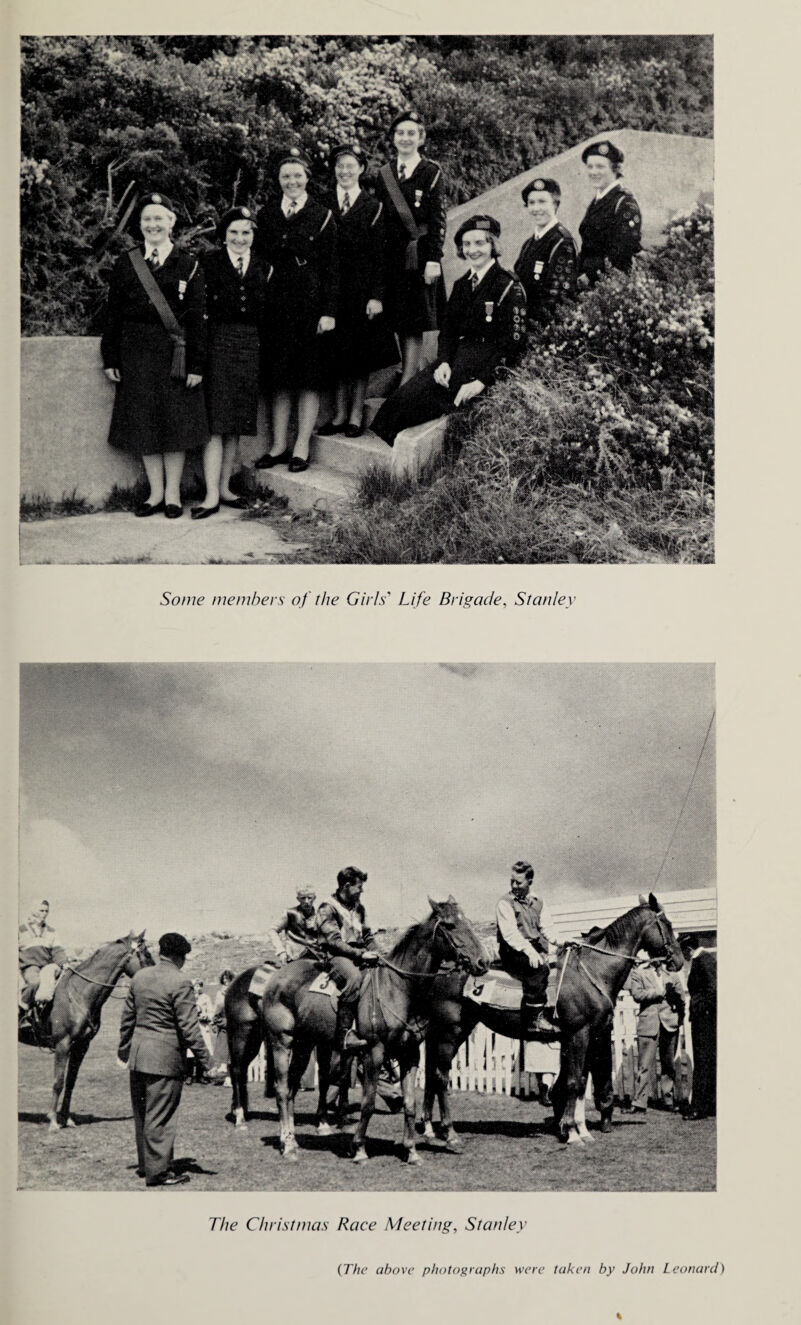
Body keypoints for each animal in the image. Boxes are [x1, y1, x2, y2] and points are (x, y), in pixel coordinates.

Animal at [19, 932, 153, 1128]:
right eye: (147, 955)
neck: (78, 994)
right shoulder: (62, 1044)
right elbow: (58, 1082)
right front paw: (53, 1121)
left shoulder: (81, 1046)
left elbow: (70, 1082)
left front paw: (66, 1118)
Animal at [266, 895, 484, 1166]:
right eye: (451, 925)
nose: (482, 962)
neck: (399, 988)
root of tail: (277, 978)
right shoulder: (374, 1053)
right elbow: (368, 1103)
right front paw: (359, 1148)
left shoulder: (410, 1054)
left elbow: (410, 1103)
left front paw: (411, 1151)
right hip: (281, 1042)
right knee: (282, 1090)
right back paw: (287, 1146)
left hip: (305, 1045)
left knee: (292, 1089)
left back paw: (292, 1140)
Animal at [423, 890, 683, 1150]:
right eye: (667, 924)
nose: (678, 961)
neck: (591, 972)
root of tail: (442, 970)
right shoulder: (579, 1034)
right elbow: (573, 1083)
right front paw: (572, 1132)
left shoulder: (586, 1036)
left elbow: (580, 1081)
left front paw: (581, 1130)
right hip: (449, 1032)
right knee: (439, 1075)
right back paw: (445, 1131)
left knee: (431, 1074)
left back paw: (428, 1128)